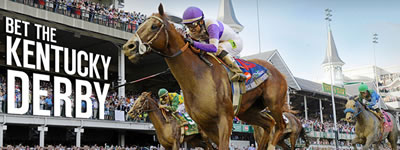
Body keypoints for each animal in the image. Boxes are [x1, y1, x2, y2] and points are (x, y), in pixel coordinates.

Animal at [122, 4, 288, 149]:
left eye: (154, 26)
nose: (128, 47)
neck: (198, 76)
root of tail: (280, 73)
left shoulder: (225, 118)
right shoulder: (205, 125)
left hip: (273, 103)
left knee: (280, 125)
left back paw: (272, 145)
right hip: (248, 112)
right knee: (269, 124)